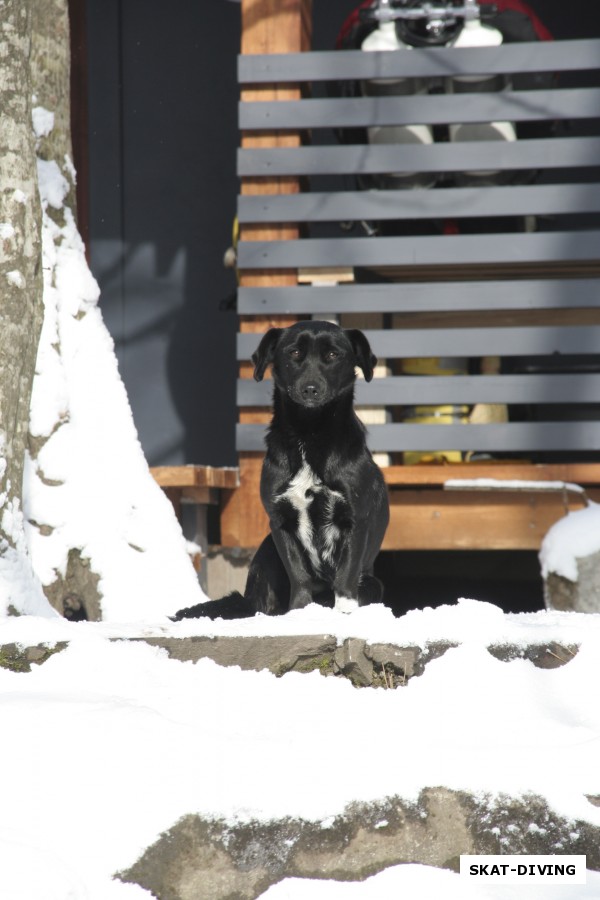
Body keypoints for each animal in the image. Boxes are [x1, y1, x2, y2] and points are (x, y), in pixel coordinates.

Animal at [173, 318, 390, 620]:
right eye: (294, 353)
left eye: (333, 355)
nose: (310, 389)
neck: (309, 434)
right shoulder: (281, 521)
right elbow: (298, 574)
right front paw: (300, 612)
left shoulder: (355, 520)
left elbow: (346, 574)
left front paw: (343, 612)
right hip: (265, 556)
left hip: (373, 581)